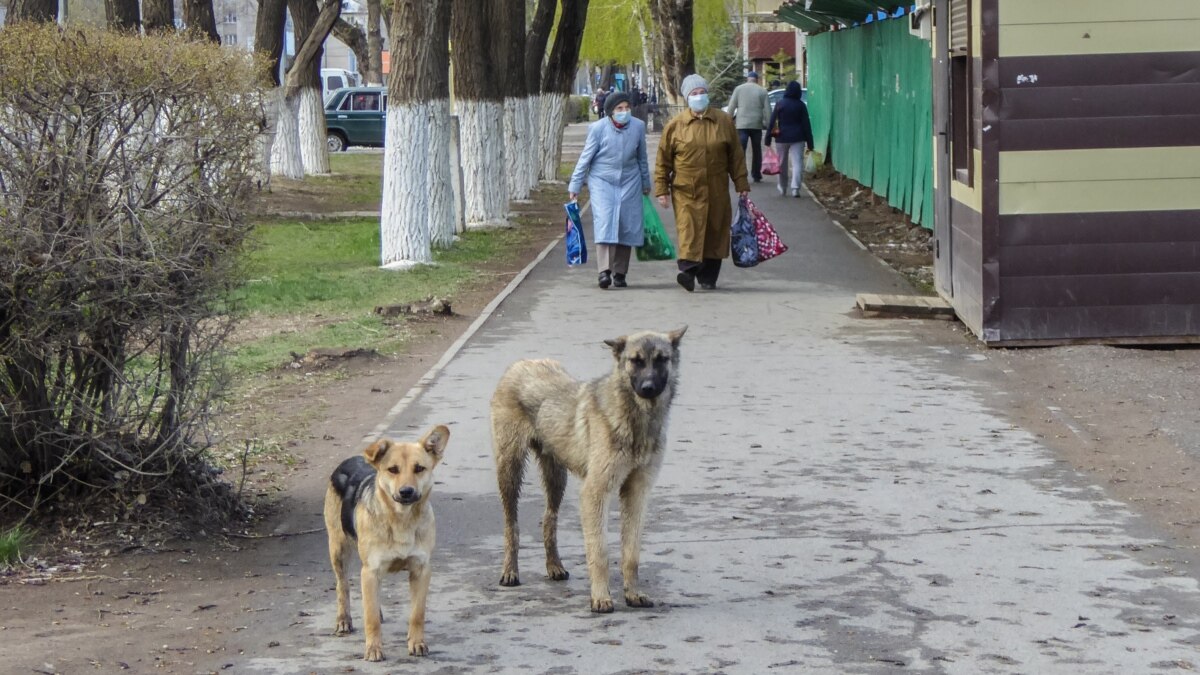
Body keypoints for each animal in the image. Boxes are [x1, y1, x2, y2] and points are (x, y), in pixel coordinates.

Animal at [324, 422, 451, 658]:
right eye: (393, 469)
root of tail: (349, 460)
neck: (401, 520)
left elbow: (417, 614)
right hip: (338, 549)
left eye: (419, 468)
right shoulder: (371, 570)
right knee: (342, 586)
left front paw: (417, 642)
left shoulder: (421, 570)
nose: (406, 491)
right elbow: (371, 618)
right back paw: (343, 620)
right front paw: (373, 649)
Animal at [492, 324, 691, 610]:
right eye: (636, 361)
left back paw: (554, 566)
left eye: (661, 359)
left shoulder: (637, 493)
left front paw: (632, 593)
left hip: (556, 477)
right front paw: (600, 596)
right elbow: (600, 551)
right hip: (510, 471)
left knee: (549, 519)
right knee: (512, 525)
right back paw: (510, 571)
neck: (635, 419)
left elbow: (631, 553)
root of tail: (521, 364)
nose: (648, 387)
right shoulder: (595, 492)